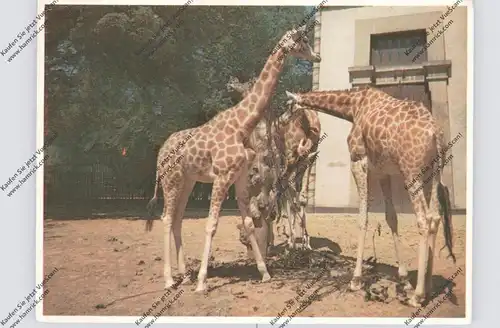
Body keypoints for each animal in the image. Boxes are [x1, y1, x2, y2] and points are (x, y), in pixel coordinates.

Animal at [284, 85, 456, 308]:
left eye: (288, 106)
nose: (284, 122)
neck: (353, 107)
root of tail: (436, 134)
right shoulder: (383, 172)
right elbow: (391, 218)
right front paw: (403, 279)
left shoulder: (358, 160)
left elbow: (362, 217)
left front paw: (356, 280)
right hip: (434, 173)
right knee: (434, 218)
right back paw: (427, 287)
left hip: (411, 172)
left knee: (424, 220)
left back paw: (417, 296)